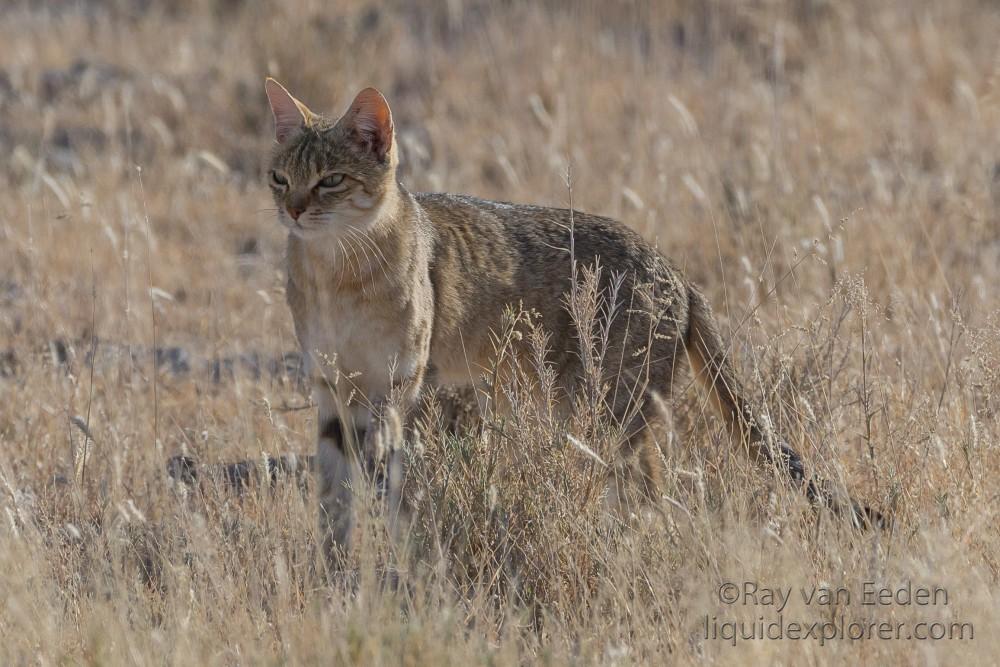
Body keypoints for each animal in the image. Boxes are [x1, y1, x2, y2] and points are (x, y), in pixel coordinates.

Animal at [262, 77, 880, 560]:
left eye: (331, 180)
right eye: (279, 177)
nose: (291, 211)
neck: (335, 275)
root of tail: (676, 270)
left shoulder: (392, 391)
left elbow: (384, 490)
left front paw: (393, 572)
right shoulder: (331, 390)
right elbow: (333, 501)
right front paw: (333, 572)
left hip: (610, 414)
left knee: (654, 492)